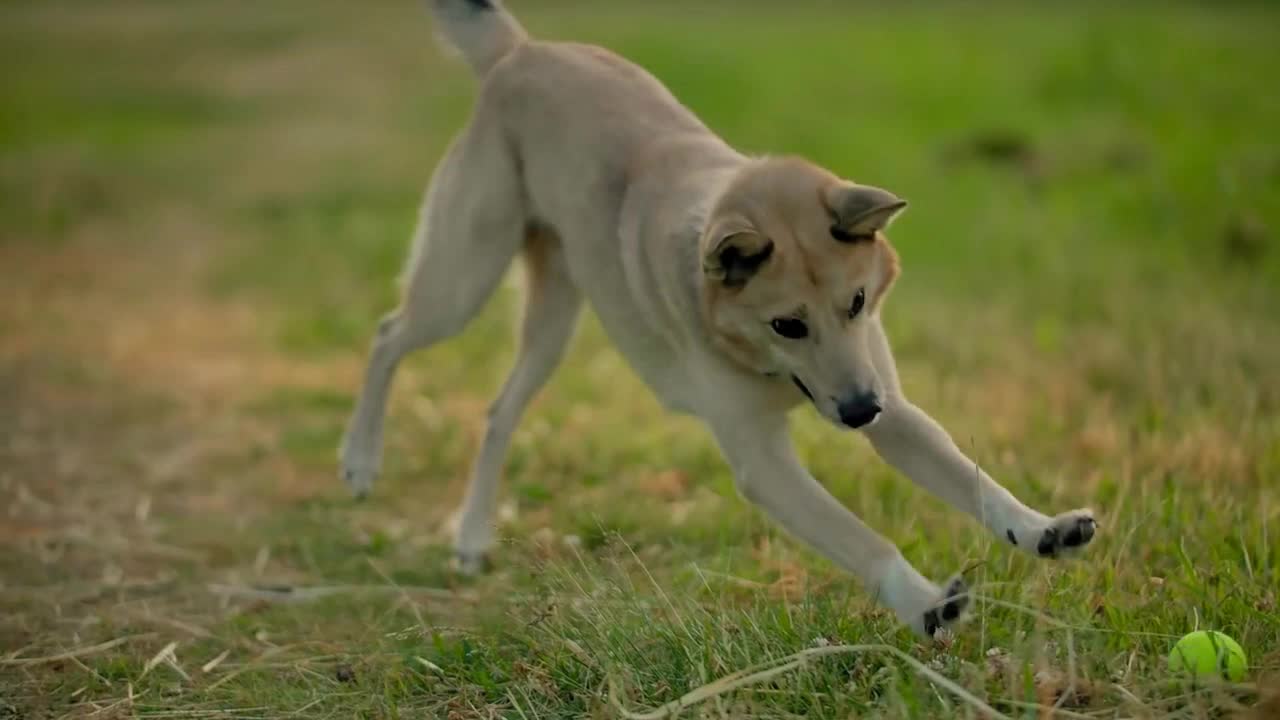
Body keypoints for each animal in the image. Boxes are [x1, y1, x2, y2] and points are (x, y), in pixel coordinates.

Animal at [343, 1, 1100, 638]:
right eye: (787, 325)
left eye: (856, 303)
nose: (860, 412)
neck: (764, 364)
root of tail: (520, 52)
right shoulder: (764, 461)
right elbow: (862, 539)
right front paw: (923, 602)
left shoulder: (895, 408)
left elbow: (974, 479)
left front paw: (1041, 528)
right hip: (462, 281)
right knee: (387, 335)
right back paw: (360, 461)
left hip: (554, 321)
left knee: (499, 410)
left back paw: (471, 538)